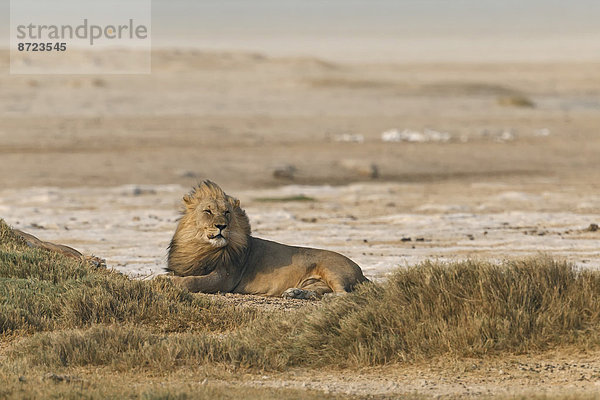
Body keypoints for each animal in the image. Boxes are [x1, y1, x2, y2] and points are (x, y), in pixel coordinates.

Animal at [166, 180, 368, 298]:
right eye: (207, 211)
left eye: (227, 212)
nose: (221, 226)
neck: (200, 246)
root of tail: (362, 272)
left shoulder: (225, 277)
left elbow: (194, 281)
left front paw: (168, 282)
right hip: (316, 281)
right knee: (317, 292)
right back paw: (295, 293)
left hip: (331, 269)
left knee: (345, 294)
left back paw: (327, 297)